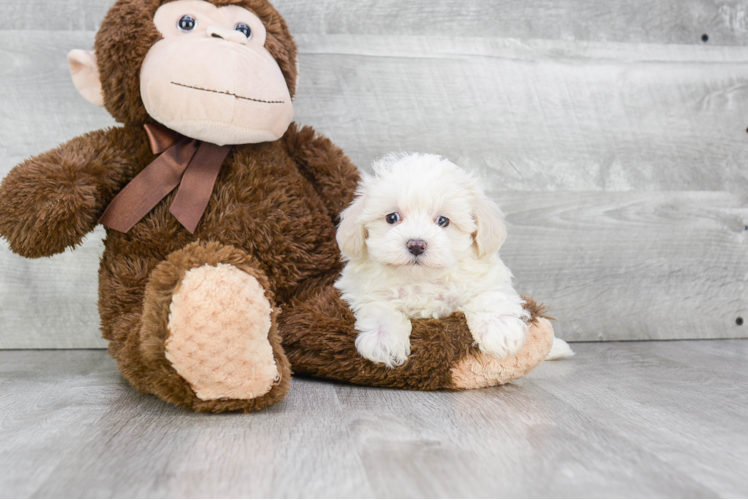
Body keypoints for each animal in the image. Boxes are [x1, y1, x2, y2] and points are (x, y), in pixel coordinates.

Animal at [336, 154, 552, 370]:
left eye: (442, 221)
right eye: (392, 217)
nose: (416, 244)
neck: (422, 280)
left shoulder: (487, 278)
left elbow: (489, 296)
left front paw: (499, 329)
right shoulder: (361, 288)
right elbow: (379, 306)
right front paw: (383, 340)